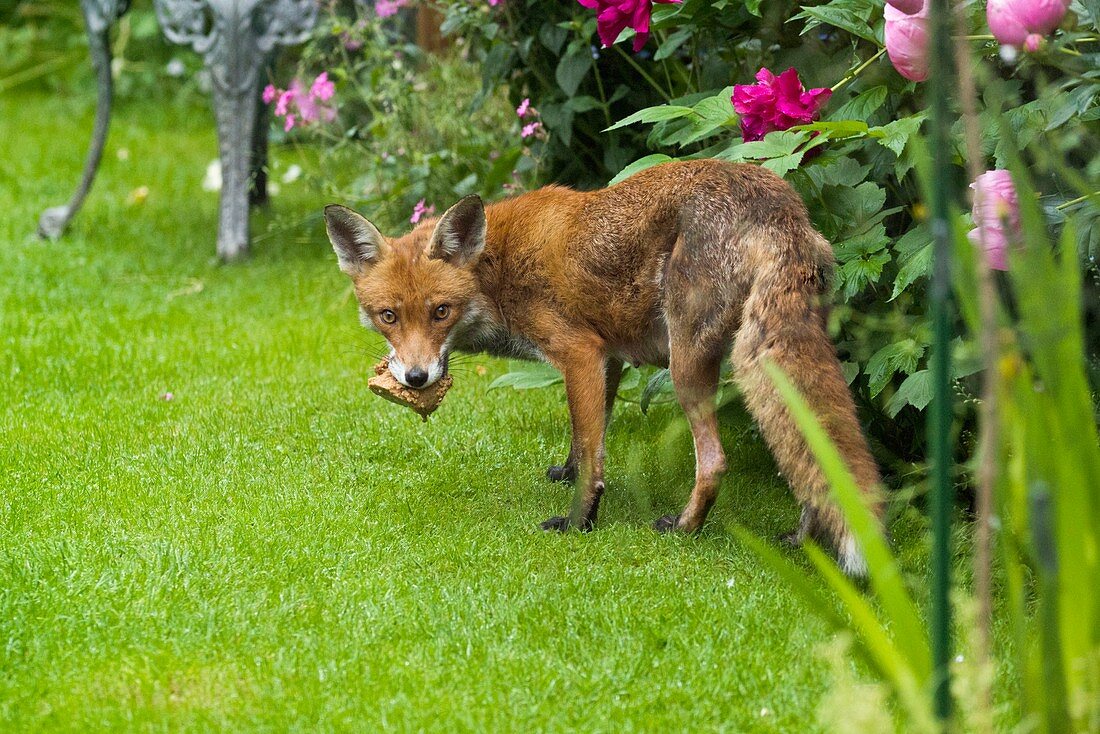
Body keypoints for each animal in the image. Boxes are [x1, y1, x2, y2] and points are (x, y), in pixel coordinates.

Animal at [325, 159, 884, 572]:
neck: (497, 268)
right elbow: (586, 435)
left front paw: (579, 522)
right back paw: (800, 537)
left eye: (441, 311)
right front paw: (566, 470)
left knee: (714, 462)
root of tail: (779, 203)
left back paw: (685, 527)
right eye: (388, 316)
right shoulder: (608, 359)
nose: (416, 377)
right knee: (813, 450)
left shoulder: (579, 352)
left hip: (686, 366)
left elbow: (594, 455)